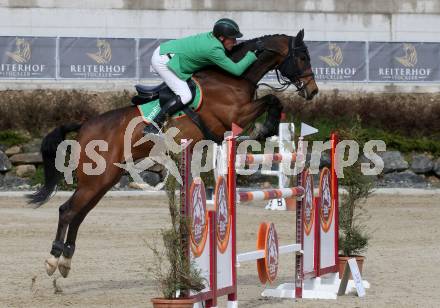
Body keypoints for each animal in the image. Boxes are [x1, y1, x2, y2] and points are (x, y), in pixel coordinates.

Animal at [27, 30, 318, 278]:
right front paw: (263, 128)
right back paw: (53, 259)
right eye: (302, 57)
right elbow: (271, 99)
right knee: (67, 211)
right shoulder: (235, 114)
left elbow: (272, 101)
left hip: (104, 180)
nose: (313, 91)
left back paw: (65, 261)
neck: (232, 78)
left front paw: (265, 128)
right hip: (95, 179)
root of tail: (85, 125)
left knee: (79, 214)